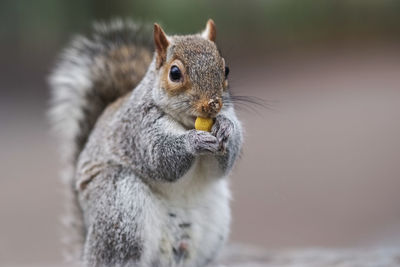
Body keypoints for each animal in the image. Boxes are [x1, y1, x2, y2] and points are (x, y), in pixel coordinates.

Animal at [48, 19, 242, 267]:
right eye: (175, 73)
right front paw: (193, 141)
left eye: (226, 69)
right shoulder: (137, 129)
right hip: (120, 208)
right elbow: (158, 157)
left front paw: (226, 127)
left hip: (213, 225)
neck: (186, 122)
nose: (213, 105)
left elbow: (221, 164)